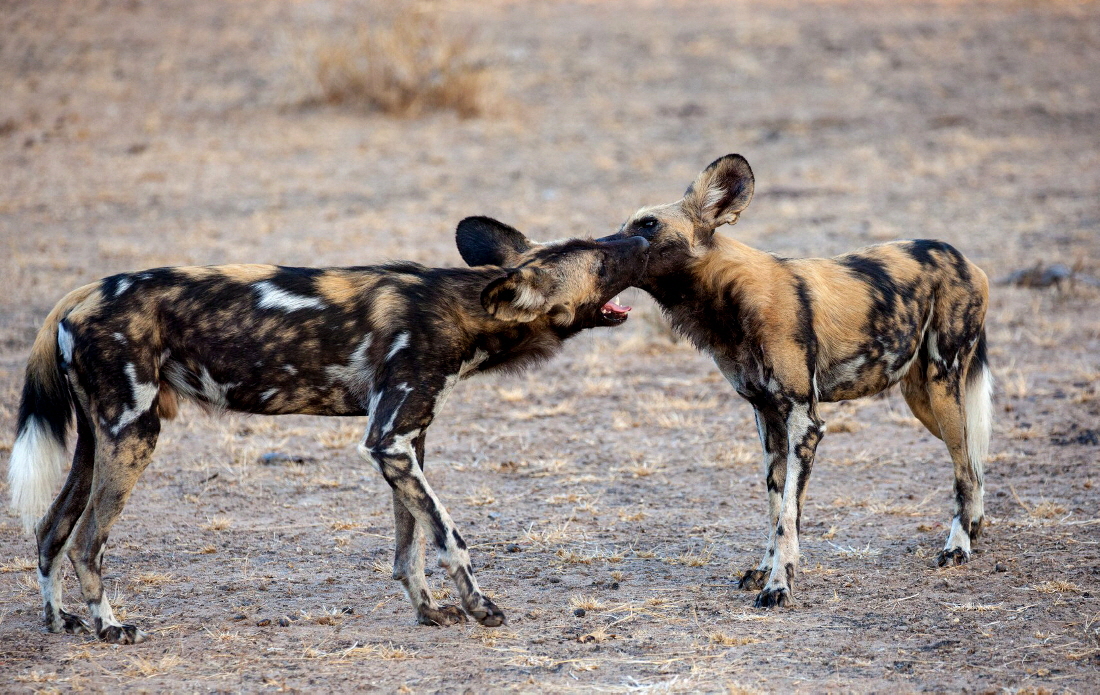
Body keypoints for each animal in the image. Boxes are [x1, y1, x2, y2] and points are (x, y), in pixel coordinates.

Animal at [6, 218, 642, 646]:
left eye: (600, 246)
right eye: (600, 262)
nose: (638, 238)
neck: (464, 309)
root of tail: (81, 294)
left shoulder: (405, 444)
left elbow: (409, 547)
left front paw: (429, 613)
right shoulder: (388, 442)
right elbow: (448, 537)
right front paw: (480, 607)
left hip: (100, 442)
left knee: (49, 530)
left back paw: (60, 621)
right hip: (135, 435)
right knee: (87, 541)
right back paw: (110, 627)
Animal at [598, 156, 994, 607]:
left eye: (648, 224)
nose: (599, 246)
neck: (729, 300)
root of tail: (963, 258)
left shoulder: (805, 422)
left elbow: (788, 514)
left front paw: (779, 585)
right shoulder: (768, 419)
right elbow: (775, 508)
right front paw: (766, 570)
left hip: (943, 387)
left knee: (964, 471)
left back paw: (958, 545)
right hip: (924, 401)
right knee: (973, 463)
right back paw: (973, 529)